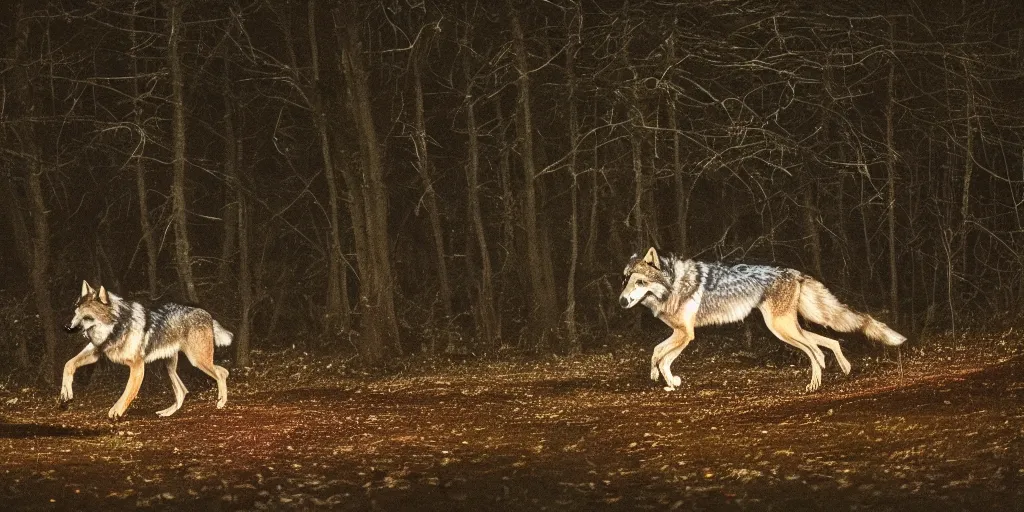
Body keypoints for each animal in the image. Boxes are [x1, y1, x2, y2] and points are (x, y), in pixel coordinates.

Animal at [59, 282, 232, 417]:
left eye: (87, 317)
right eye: (76, 311)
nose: (67, 327)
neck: (116, 327)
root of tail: (207, 314)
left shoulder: (137, 366)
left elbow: (127, 393)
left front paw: (116, 412)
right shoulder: (96, 352)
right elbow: (68, 364)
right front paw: (65, 393)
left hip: (196, 361)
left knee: (221, 373)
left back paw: (221, 401)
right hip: (170, 367)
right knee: (183, 391)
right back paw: (167, 412)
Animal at [614, 247, 905, 391]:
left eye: (640, 282)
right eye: (625, 280)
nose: (622, 301)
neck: (673, 284)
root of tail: (794, 272)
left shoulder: (686, 334)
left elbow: (662, 356)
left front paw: (668, 381)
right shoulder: (680, 334)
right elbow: (658, 355)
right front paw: (663, 379)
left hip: (781, 329)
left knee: (815, 351)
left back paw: (814, 384)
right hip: (787, 328)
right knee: (828, 343)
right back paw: (843, 368)